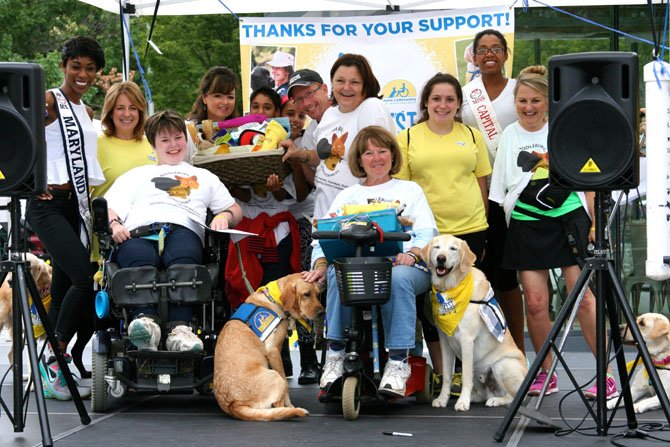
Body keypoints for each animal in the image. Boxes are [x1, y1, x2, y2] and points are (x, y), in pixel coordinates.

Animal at [213, 272, 322, 424]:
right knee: (278, 405)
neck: (273, 299)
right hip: (275, 375)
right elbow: (287, 386)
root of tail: (233, 404)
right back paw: (292, 411)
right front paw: (290, 405)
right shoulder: (274, 352)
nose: (322, 313)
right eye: (306, 294)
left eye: (318, 294)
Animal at [426, 236, 532, 412]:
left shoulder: (467, 340)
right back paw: (476, 397)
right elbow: (447, 374)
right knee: (483, 394)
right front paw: (442, 399)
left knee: (512, 397)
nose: (441, 258)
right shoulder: (444, 341)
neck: (452, 289)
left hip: (502, 365)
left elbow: (465, 377)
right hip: (478, 368)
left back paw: (495, 400)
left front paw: (462, 402)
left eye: (453, 249)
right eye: (437, 247)